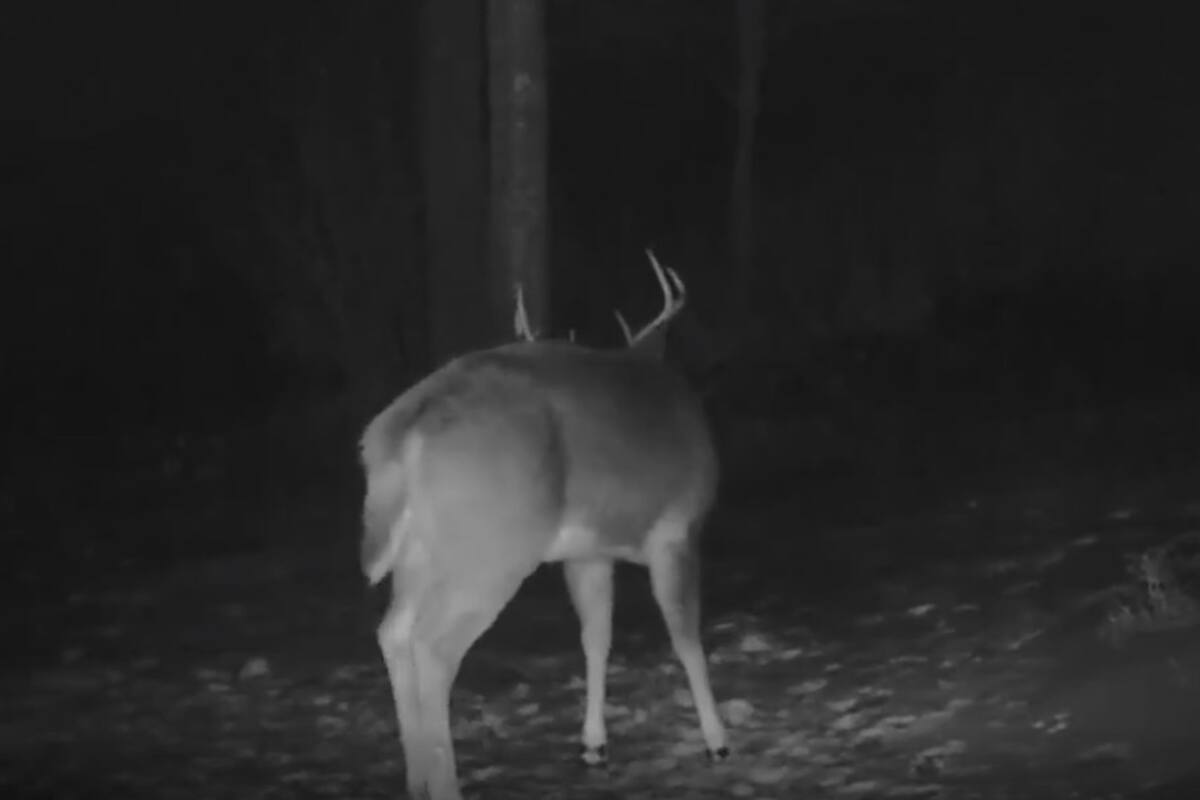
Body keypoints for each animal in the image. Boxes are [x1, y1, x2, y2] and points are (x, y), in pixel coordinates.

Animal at [358, 251, 729, 800]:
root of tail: (400, 429)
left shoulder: (587, 552)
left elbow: (596, 637)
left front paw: (594, 744)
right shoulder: (677, 530)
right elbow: (686, 639)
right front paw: (718, 740)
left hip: (424, 549)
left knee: (394, 631)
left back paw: (417, 779)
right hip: (494, 546)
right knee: (434, 646)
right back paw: (447, 783)